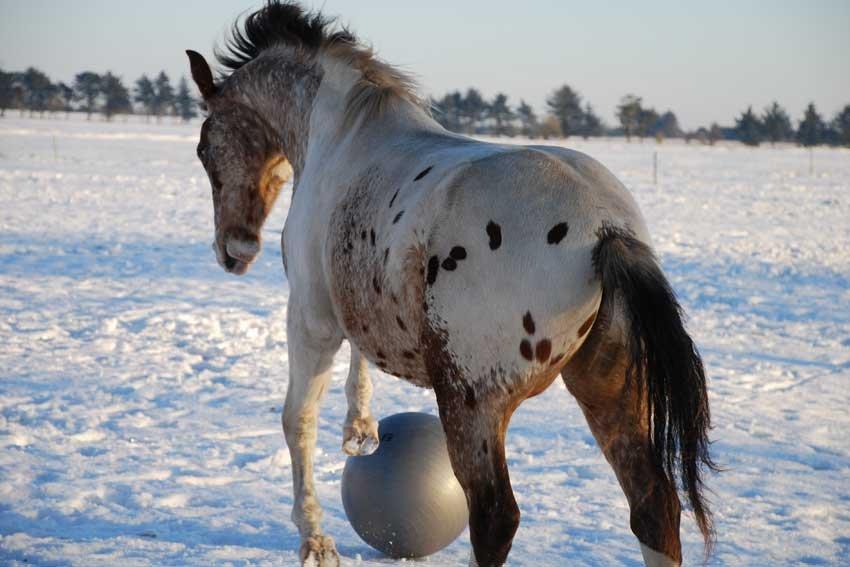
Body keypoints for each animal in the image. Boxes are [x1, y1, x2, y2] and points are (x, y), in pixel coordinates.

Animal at [187, 2, 716, 564]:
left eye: (203, 148)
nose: (234, 250)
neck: (341, 134)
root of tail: (606, 232)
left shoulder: (311, 318)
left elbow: (298, 420)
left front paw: (314, 539)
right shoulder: (355, 302)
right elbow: (360, 355)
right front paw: (361, 433)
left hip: (471, 400)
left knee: (494, 514)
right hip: (609, 391)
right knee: (654, 506)